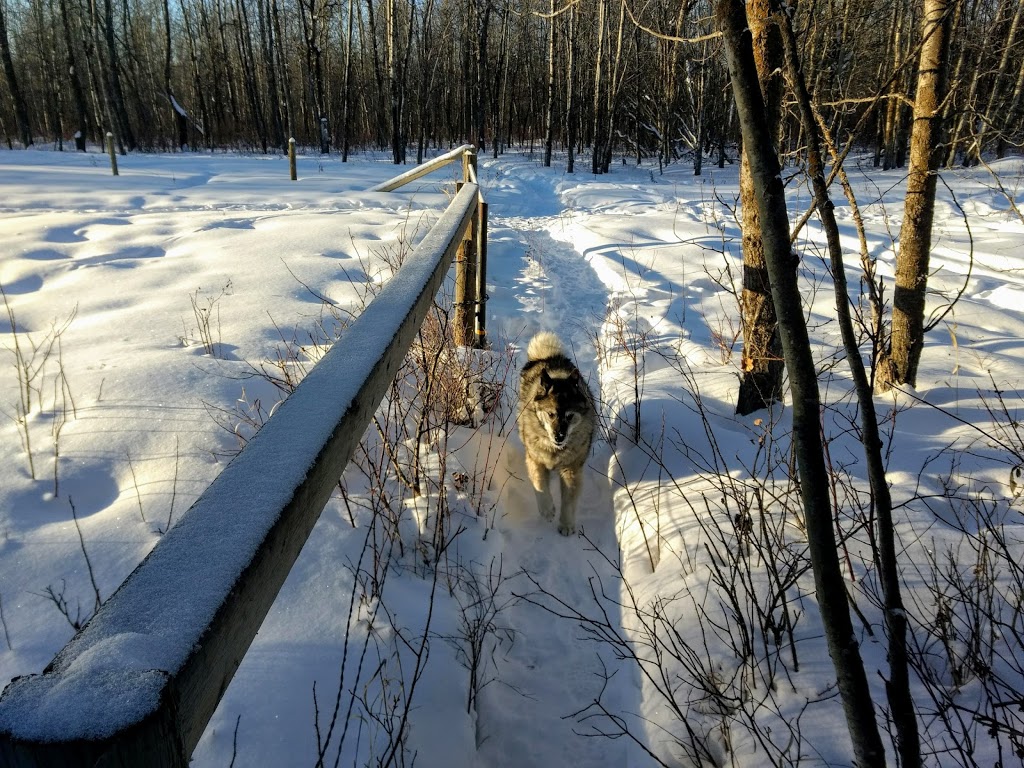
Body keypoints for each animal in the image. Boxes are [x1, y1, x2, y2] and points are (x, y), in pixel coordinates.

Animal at [516, 331, 598, 536]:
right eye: (551, 414)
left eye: (569, 416)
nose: (558, 436)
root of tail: (548, 357)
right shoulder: (535, 460)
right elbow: (539, 484)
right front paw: (547, 510)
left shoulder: (571, 469)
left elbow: (568, 501)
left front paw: (566, 525)